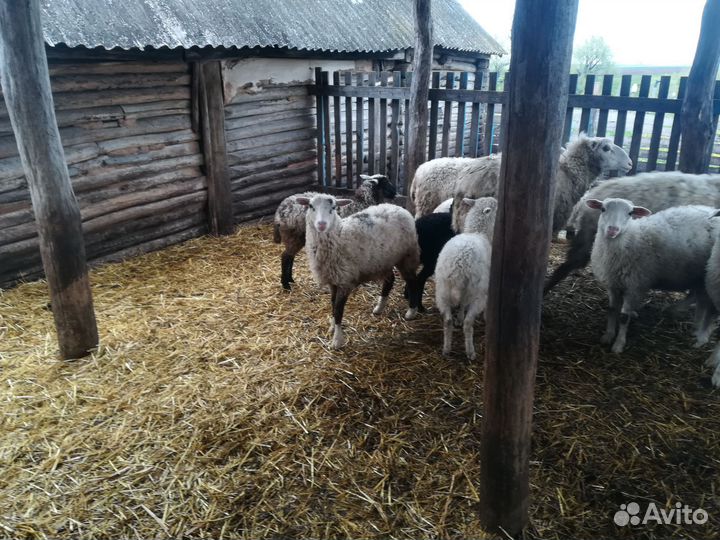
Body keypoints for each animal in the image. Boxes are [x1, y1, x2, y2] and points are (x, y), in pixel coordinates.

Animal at [295, 194, 420, 349]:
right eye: (311, 206)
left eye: (334, 207)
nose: (322, 224)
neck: (339, 235)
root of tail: (397, 207)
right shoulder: (333, 281)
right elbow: (333, 305)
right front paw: (332, 327)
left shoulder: (345, 281)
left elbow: (338, 310)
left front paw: (337, 340)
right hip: (383, 261)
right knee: (390, 280)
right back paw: (379, 308)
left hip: (407, 256)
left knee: (413, 281)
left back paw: (411, 311)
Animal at [434, 197, 498, 360]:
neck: (478, 231)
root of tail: (460, 264)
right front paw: (487, 317)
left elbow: (462, 304)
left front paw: (459, 317)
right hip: (477, 292)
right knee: (468, 324)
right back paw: (470, 352)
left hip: (442, 290)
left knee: (447, 321)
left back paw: (446, 349)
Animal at [587, 198, 717, 354]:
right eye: (603, 209)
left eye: (630, 213)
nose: (613, 230)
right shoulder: (613, 283)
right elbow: (611, 310)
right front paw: (608, 335)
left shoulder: (634, 285)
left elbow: (624, 317)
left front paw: (619, 344)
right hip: (696, 274)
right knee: (695, 295)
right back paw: (675, 311)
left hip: (707, 274)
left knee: (705, 302)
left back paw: (699, 332)